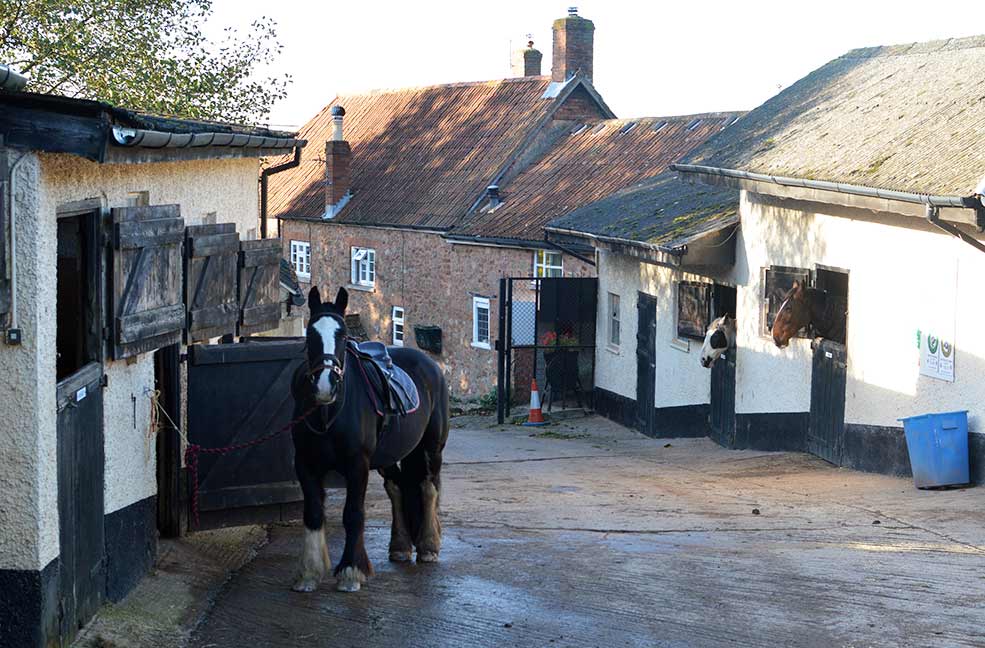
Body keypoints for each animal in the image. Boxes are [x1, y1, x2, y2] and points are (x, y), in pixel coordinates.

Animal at [288, 288, 450, 592]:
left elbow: (353, 513)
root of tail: (431, 366)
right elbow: (313, 513)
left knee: (428, 487)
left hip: (431, 449)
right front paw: (309, 573)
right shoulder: (305, 463)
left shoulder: (357, 464)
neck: (329, 413)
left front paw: (351, 571)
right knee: (397, 487)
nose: (325, 385)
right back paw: (400, 546)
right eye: (311, 334)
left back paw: (428, 546)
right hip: (390, 454)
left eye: (341, 336)